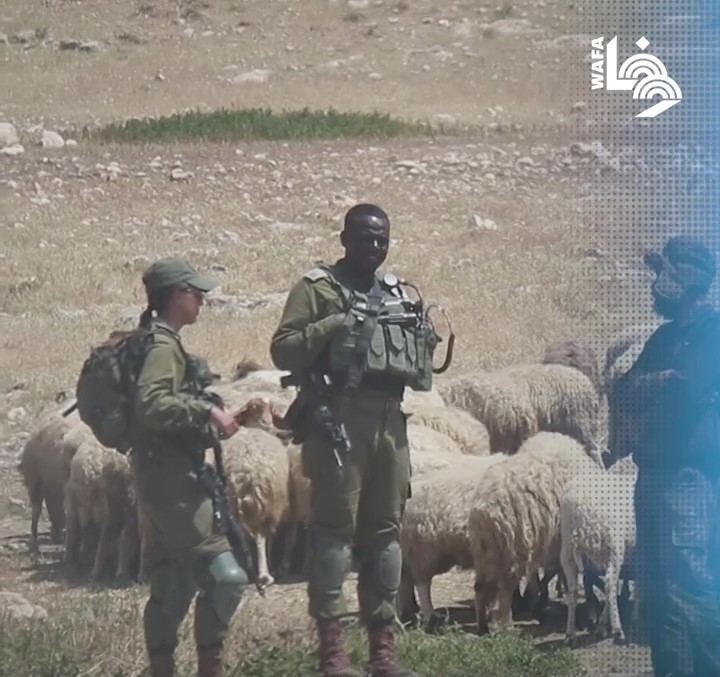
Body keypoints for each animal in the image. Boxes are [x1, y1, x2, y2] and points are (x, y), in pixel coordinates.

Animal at [468, 431, 606, 635]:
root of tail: (484, 510)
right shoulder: (557, 542)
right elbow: (554, 572)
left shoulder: (548, 541)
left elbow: (540, 573)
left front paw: (537, 602)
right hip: (515, 546)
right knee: (506, 586)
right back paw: (506, 625)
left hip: (484, 550)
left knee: (480, 586)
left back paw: (482, 626)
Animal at [560, 455, 638, 645]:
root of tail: (582, 506)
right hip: (614, 546)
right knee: (609, 582)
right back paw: (618, 631)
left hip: (567, 550)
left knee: (572, 589)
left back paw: (570, 634)